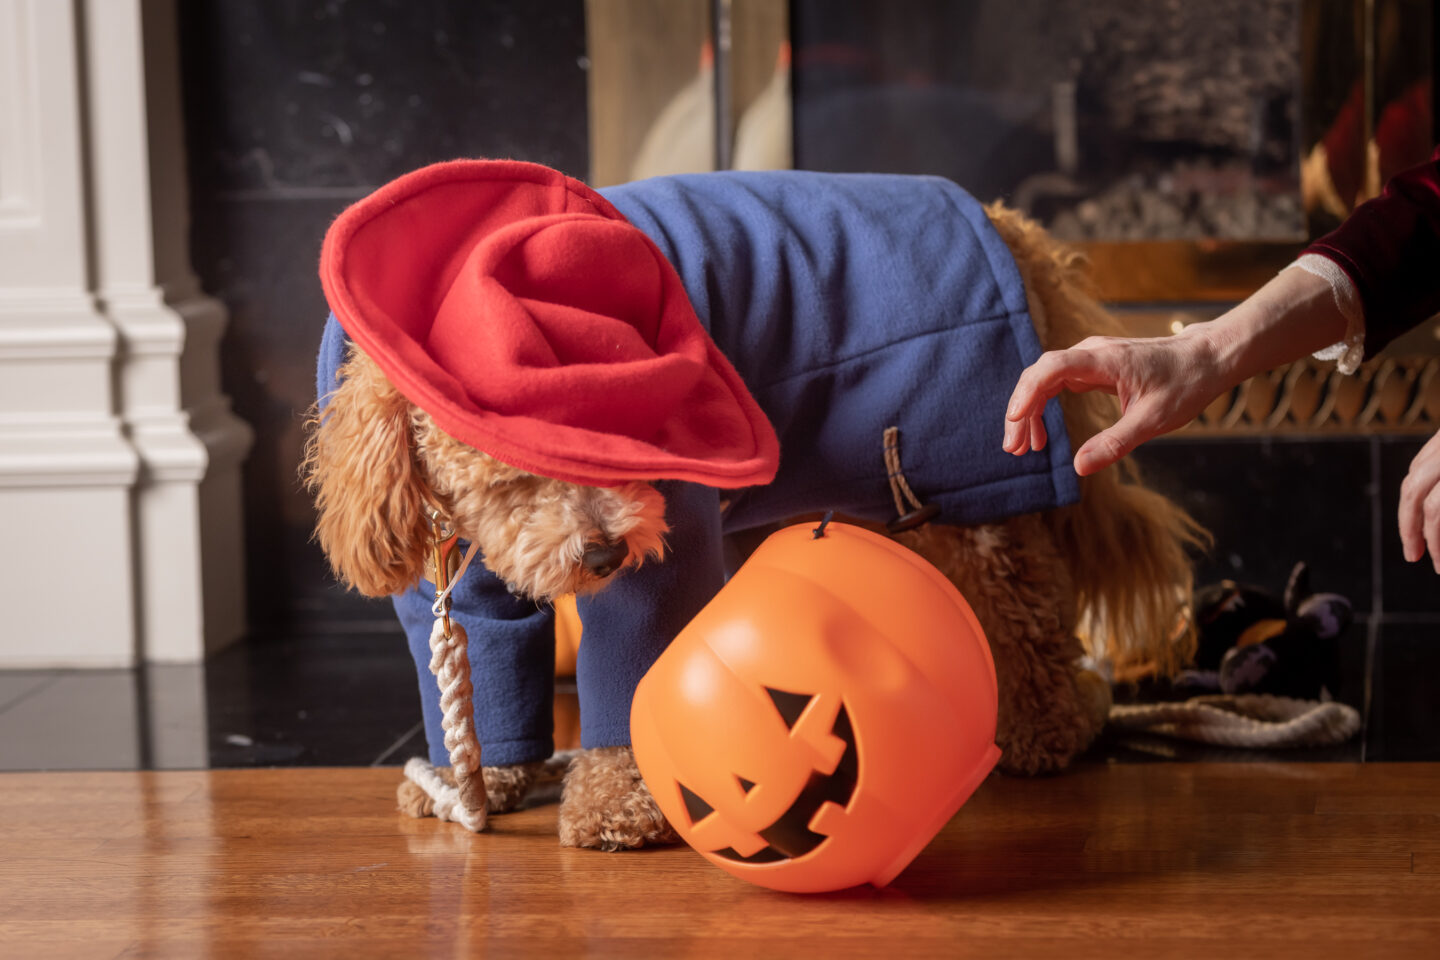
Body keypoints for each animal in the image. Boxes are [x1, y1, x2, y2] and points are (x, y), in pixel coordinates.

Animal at [303, 161, 1203, 852]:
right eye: (519, 467)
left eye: (632, 434)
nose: (603, 555)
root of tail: (1005, 221)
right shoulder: (456, 577)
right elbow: (480, 658)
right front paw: (483, 778)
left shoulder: (668, 534)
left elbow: (635, 654)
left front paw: (616, 807)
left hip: (969, 483)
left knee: (1028, 615)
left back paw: (1047, 730)